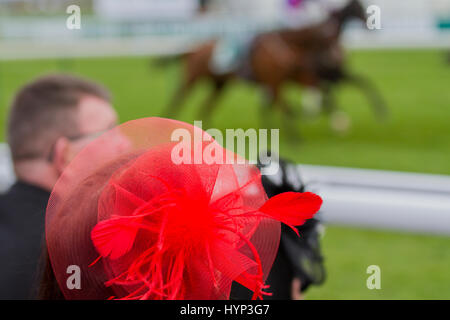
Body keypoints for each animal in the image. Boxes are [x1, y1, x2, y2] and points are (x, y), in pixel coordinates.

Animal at [164, 0, 386, 124]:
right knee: (178, 98)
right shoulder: (294, 78)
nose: (370, 25)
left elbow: (359, 84)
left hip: (220, 84)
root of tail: (193, 49)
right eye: (358, 8)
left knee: (206, 106)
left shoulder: (320, 76)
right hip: (193, 77)